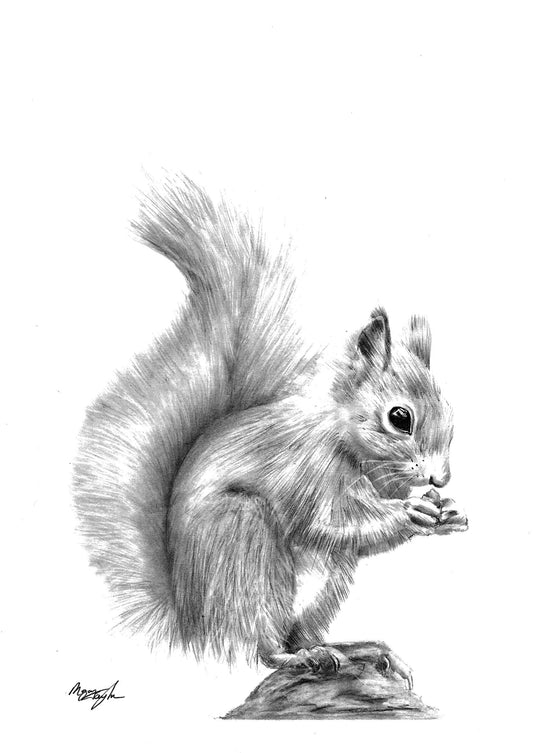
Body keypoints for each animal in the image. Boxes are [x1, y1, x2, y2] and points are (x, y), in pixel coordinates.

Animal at [73, 175, 468, 682]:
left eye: (452, 415)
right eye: (400, 418)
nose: (442, 478)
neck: (344, 441)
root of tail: (193, 626)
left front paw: (448, 510)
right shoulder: (304, 473)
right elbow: (328, 523)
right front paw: (411, 514)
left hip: (326, 583)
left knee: (297, 632)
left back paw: (356, 649)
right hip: (245, 544)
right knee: (258, 645)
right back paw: (300, 657)